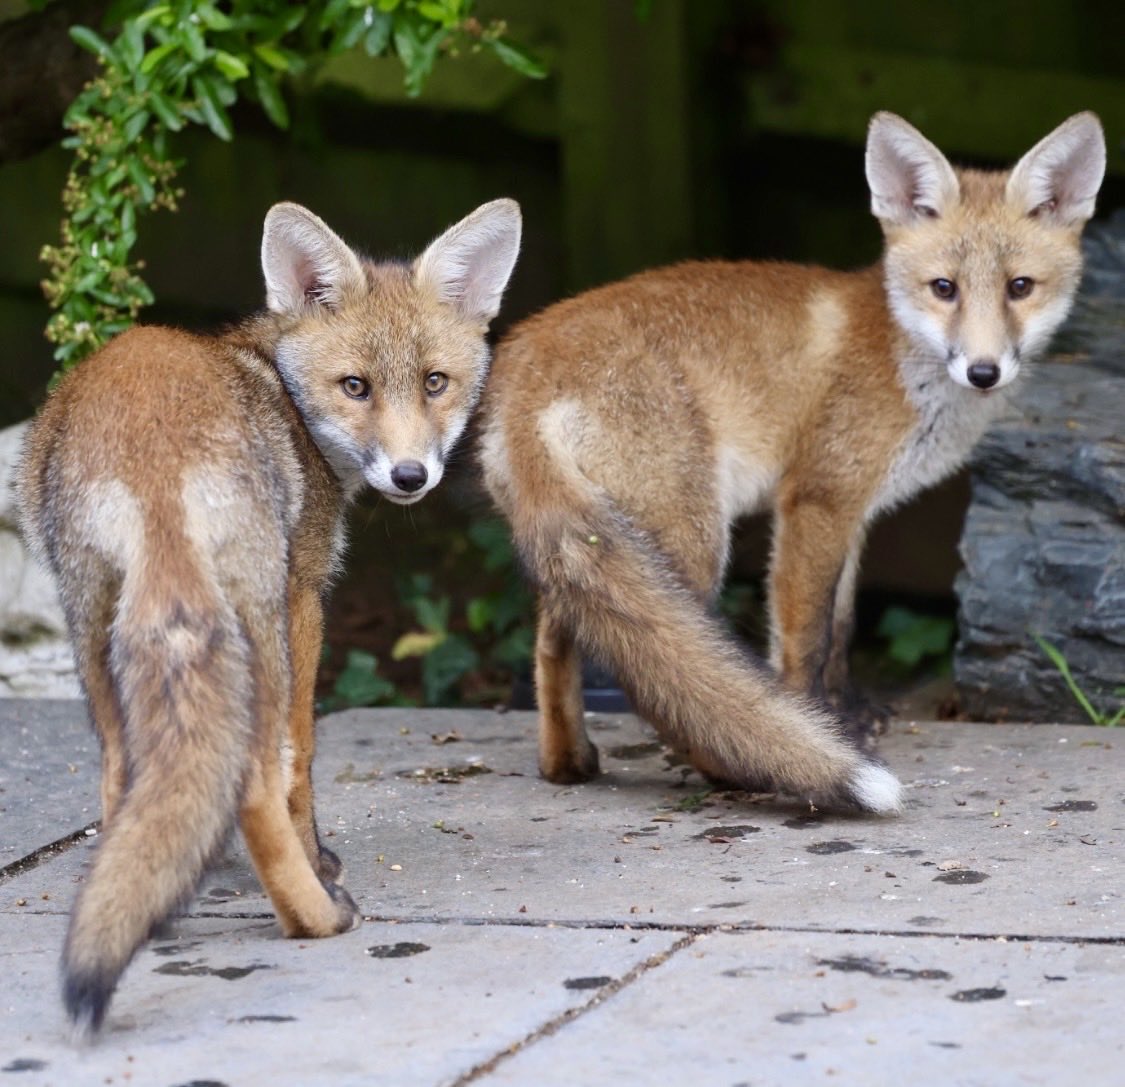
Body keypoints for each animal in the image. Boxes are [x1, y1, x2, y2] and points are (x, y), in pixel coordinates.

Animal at [16, 197, 522, 1036]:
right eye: (354, 386)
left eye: (435, 382)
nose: (410, 475)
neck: (280, 387)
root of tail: (148, 443)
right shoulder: (304, 595)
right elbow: (302, 758)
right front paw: (317, 859)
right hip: (254, 621)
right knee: (255, 779)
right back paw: (315, 915)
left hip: (92, 627)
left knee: (125, 772)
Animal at [479, 111, 1105, 812]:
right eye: (944, 289)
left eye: (1019, 288)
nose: (983, 371)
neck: (900, 357)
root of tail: (528, 365)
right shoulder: (816, 499)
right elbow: (805, 640)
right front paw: (821, 726)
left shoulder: (854, 513)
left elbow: (843, 624)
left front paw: (850, 712)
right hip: (689, 544)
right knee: (662, 685)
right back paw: (739, 770)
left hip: (592, 549)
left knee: (555, 643)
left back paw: (568, 763)